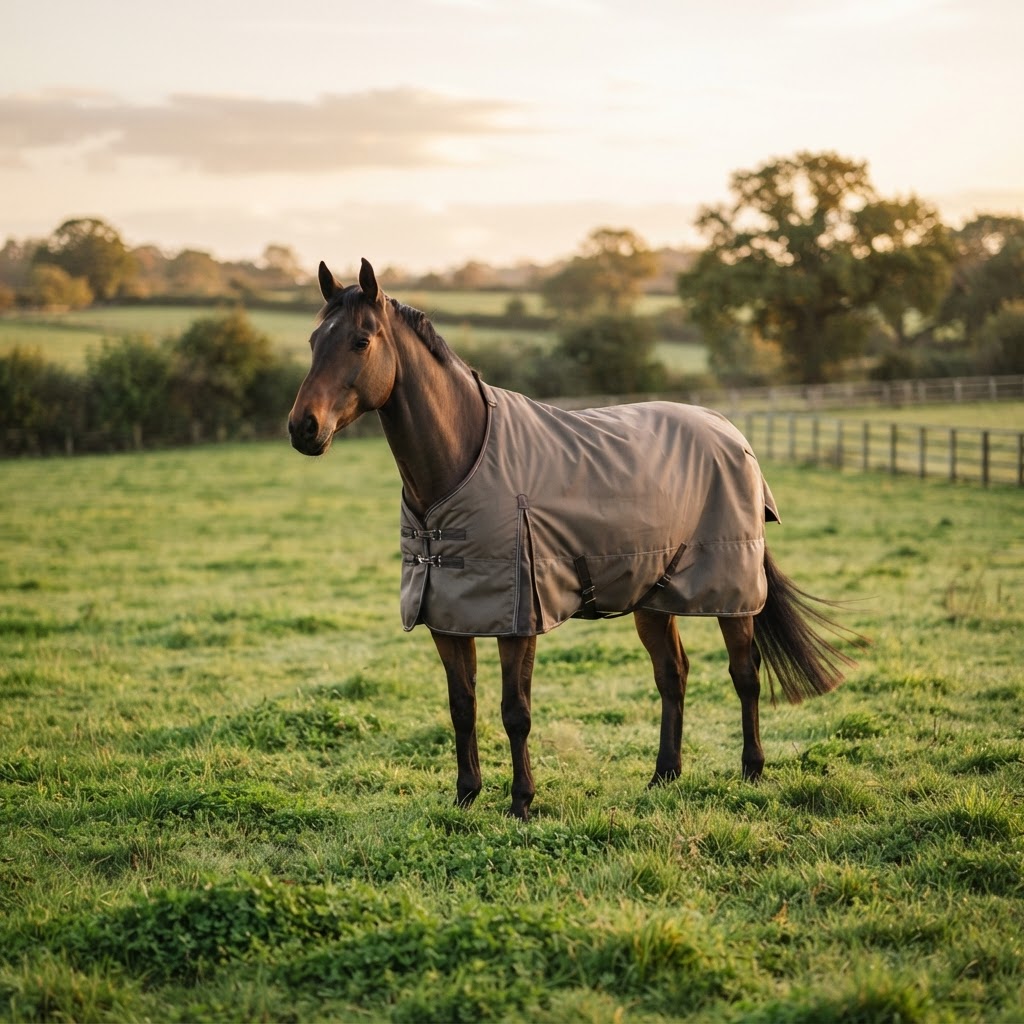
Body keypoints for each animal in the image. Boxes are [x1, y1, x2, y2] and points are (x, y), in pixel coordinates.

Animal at [288, 258, 854, 820]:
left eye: (361, 341)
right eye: (314, 339)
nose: (302, 428)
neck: (464, 462)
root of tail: (732, 434)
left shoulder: (519, 619)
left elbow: (515, 711)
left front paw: (521, 801)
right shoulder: (448, 616)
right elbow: (462, 707)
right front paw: (466, 796)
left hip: (730, 592)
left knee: (745, 673)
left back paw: (751, 770)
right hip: (655, 596)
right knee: (672, 675)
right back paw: (664, 776)